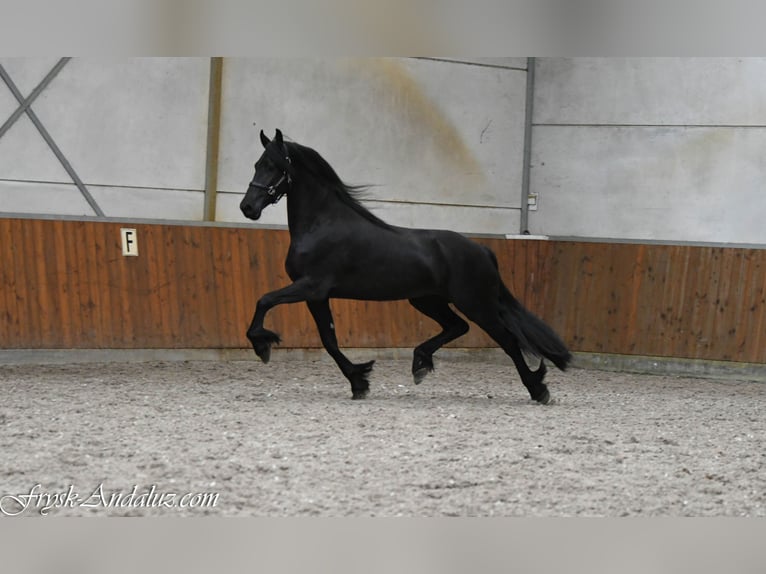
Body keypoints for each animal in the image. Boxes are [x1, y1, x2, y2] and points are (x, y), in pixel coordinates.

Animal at [240, 129, 571, 404]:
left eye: (275, 167)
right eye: (256, 164)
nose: (247, 207)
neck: (322, 224)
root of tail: (482, 250)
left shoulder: (311, 286)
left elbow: (264, 300)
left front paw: (263, 345)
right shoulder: (317, 296)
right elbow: (329, 341)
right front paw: (359, 381)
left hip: (477, 304)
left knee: (509, 341)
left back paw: (538, 390)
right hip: (427, 300)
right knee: (458, 326)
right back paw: (420, 364)